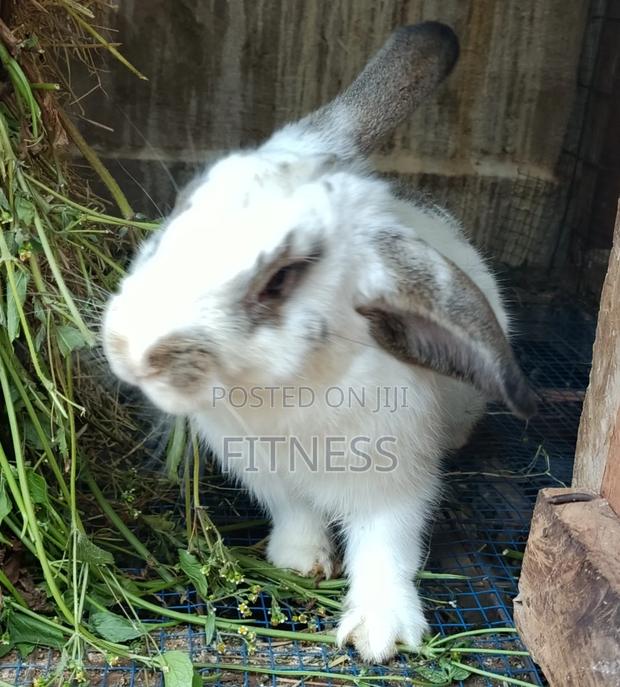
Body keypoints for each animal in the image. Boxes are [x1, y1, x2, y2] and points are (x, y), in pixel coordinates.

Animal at [102, 22, 537, 663]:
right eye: (184, 205)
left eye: (281, 278)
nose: (127, 348)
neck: (283, 393)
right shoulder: (267, 478)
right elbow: (298, 516)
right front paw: (299, 562)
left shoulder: (394, 483)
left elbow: (385, 547)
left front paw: (380, 634)